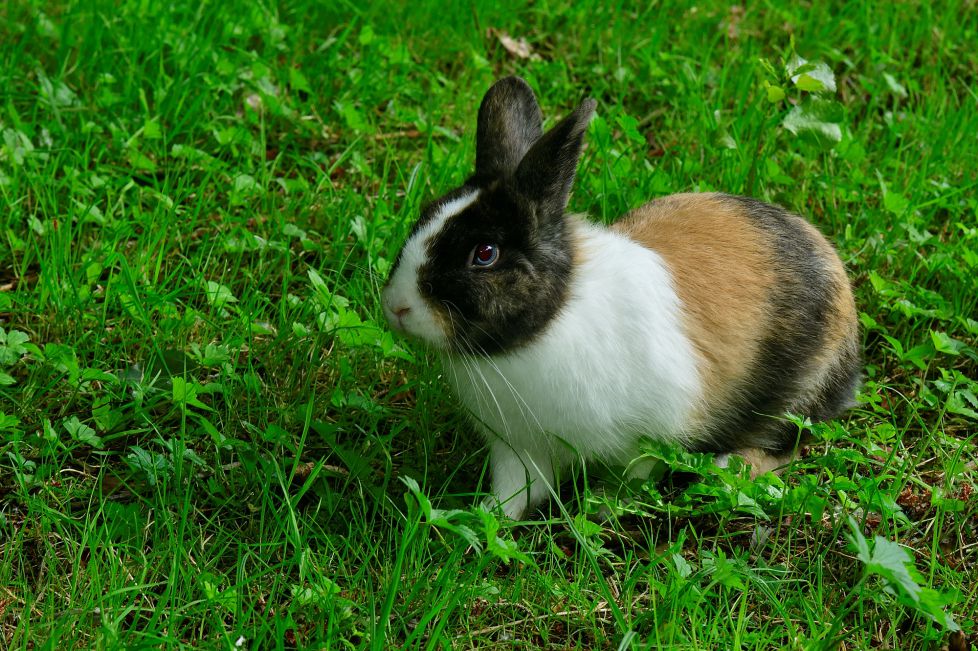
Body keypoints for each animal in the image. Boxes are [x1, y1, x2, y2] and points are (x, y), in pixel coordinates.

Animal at [382, 76, 861, 519]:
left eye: (485, 254)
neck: (543, 327)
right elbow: (518, 492)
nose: (396, 307)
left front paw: (603, 509)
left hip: (799, 395)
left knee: (785, 444)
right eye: (426, 213)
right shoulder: (517, 449)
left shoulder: (648, 436)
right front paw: (485, 518)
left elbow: (634, 477)